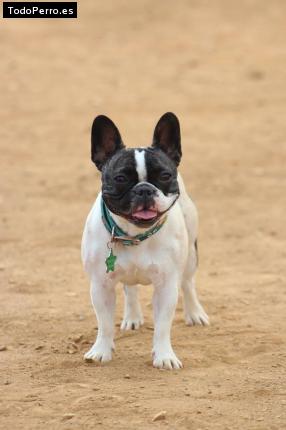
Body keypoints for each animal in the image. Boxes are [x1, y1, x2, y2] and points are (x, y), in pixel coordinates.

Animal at [81, 112, 209, 368]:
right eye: (120, 178)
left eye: (165, 176)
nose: (144, 190)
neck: (134, 236)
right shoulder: (100, 285)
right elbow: (104, 323)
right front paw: (101, 351)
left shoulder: (166, 286)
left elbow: (162, 327)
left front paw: (164, 356)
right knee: (130, 289)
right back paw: (132, 317)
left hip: (191, 255)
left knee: (188, 283)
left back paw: (194, 313)